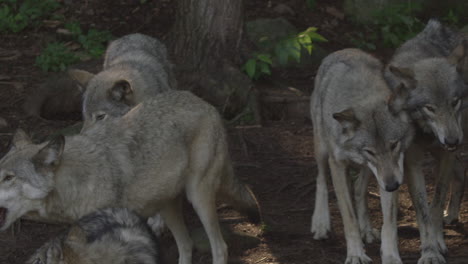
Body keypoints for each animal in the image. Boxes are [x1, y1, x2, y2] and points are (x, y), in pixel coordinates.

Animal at [310, 48, 414, 262]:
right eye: (370, 151)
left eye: (394, 145)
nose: (392, 186)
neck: (363, 96)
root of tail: (343, 50)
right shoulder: (338, 165)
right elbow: (349, 219)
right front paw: (356, 254)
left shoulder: (391, 172)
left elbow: (389, 223)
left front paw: (390, 256)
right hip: (322, 149)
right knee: (321, 179)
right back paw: (320, 223)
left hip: (368, 170)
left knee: (359, 190)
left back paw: (366, 228)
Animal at [382, 19, 468, 264]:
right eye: (430, 108)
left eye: (454, 102)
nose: (452, 139)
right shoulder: (412, 163)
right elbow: (423, 211)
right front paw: (429, 250)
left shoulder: (446, 155)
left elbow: (436, 203)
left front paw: (437, 243)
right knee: (461, 171)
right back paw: (453, 214)